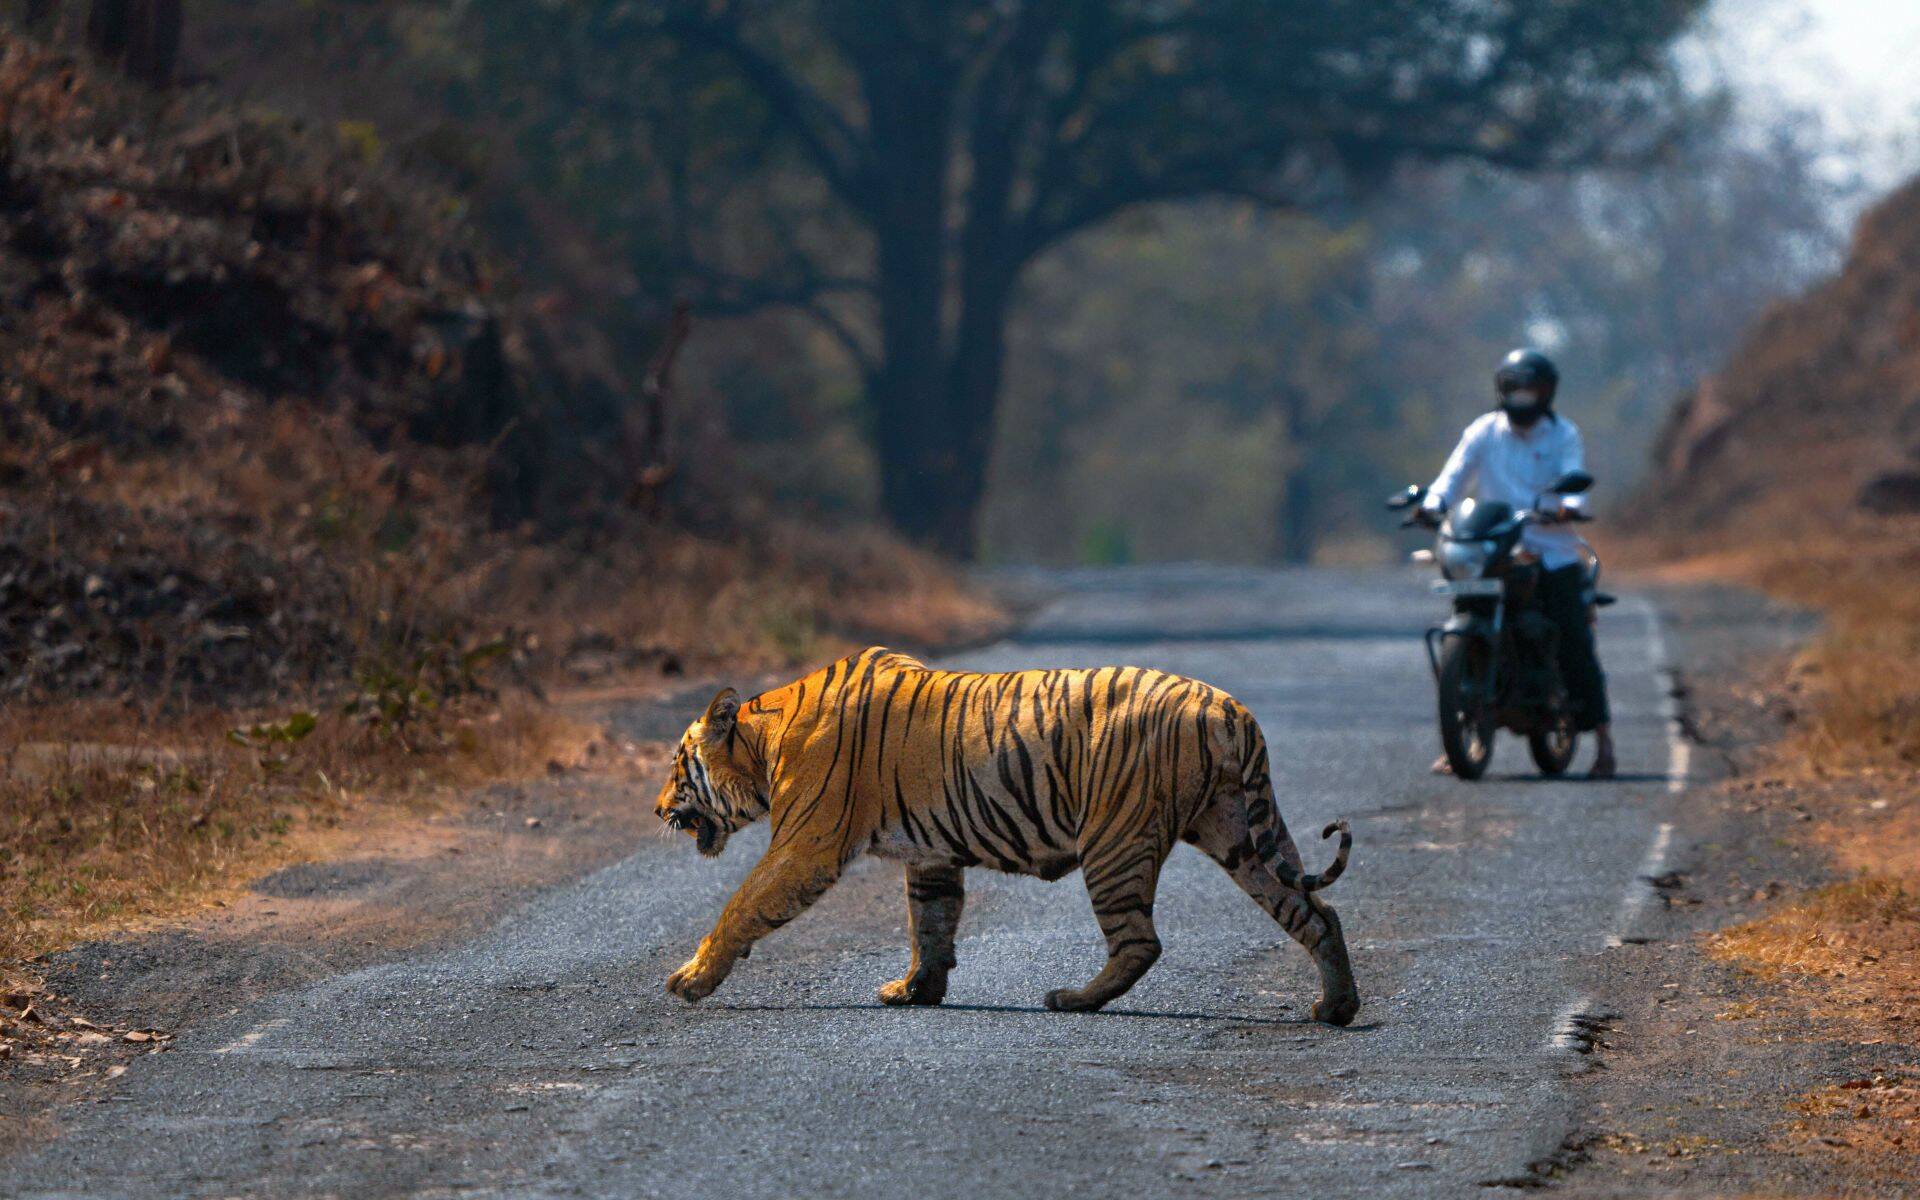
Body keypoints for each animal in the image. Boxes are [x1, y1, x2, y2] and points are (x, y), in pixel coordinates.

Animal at [652, 645, 1359, 1021]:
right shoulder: (930, 854)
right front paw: (916, 990)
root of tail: (1229, 707)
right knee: (1316, 912)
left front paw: (690, 979)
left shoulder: (808, 845)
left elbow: (741, 905)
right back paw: (1337, 1009)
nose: (658, 810)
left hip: (1115, 842)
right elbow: (931, 923)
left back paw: (1073, 999)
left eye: (676, 765)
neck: (763, 740)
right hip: (1238, 833)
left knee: (1141, 941)